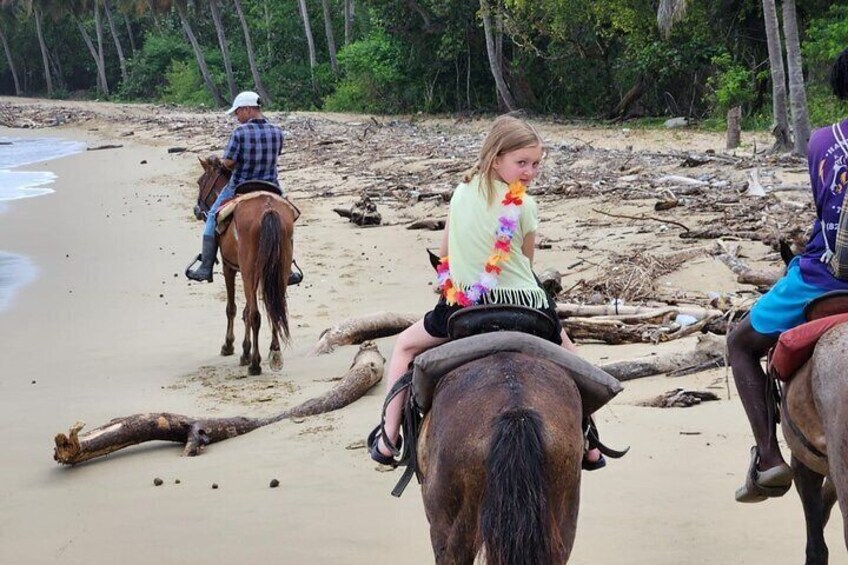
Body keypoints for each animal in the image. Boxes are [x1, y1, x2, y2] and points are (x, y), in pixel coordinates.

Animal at [195, 156, 294, 374]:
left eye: (200, 181)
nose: (196, 210)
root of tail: (268, 208)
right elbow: (247, 310)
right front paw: (245, 350)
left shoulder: (230, 268)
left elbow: (233, 308)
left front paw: (231, 346)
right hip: (278, 270)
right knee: (274, 308)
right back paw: (275, 354)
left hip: (249, 271)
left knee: (256, 314)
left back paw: (255, 364)